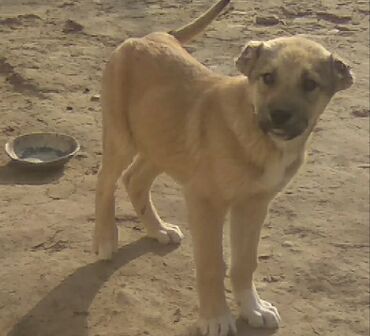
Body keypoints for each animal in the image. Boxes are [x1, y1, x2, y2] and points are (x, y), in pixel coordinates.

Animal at [92, 1, 352, 334]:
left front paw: (253, 308)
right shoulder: (205, 201)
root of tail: (151, 35)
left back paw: (158, 229)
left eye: (310, 84)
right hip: (121, 138)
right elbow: (212, 264)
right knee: (105, 182)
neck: (259, 137)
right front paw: (216, 317)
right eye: (268, 77)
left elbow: (245, 263)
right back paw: (105, 239)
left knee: (134, 179)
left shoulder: (253, 204)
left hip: (161, 141)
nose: (279, 115)